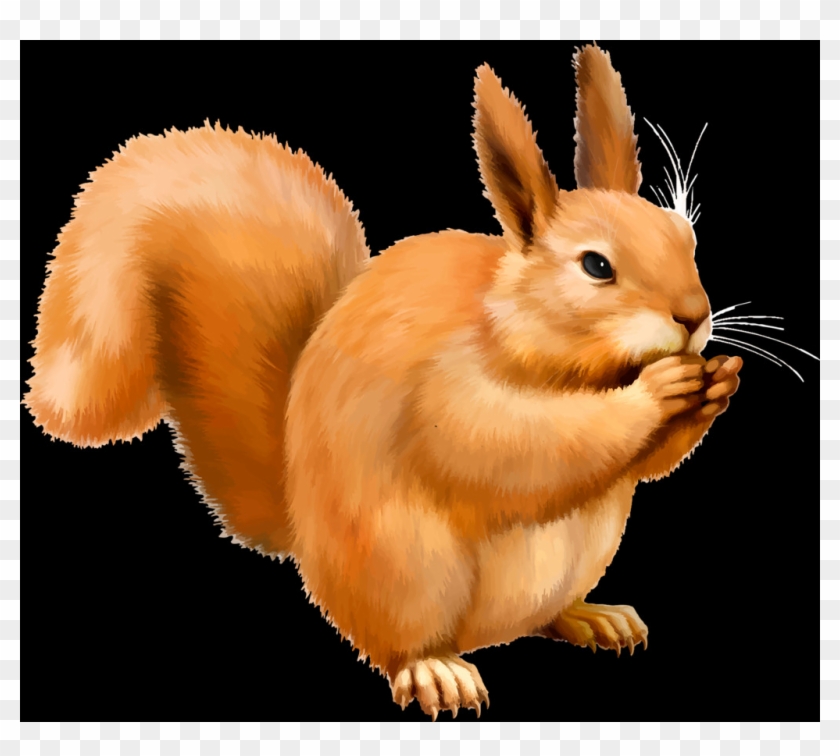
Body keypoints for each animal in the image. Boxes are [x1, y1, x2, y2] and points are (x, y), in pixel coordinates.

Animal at [24, 43, 742, 719]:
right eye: (596, 266)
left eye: (685, 239)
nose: (693, 317)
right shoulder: (446, 391)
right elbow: (515, 444)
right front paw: (658, 393)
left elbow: (639, 467)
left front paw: (718, 386)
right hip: (406, 571)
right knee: (397, 644)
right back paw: (436, 671)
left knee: (544, 616)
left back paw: (594, 616)